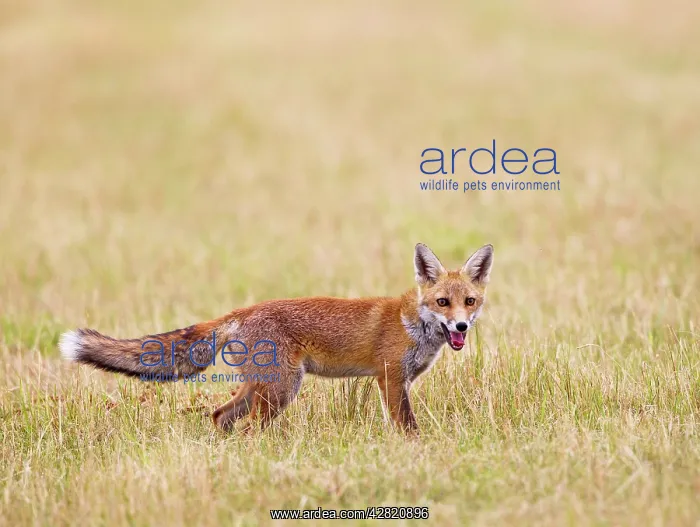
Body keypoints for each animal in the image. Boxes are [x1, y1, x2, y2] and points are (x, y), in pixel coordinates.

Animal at [60, 243, 494, 435]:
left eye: (469, 302)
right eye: (442, 302)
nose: (460, 328)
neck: (413, 322)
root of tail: (243, 311)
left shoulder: (400, 381)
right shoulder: (389, 379)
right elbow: (408, 427)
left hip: (262, 388)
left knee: (219, 416)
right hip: (282, 389)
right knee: (247, 428)